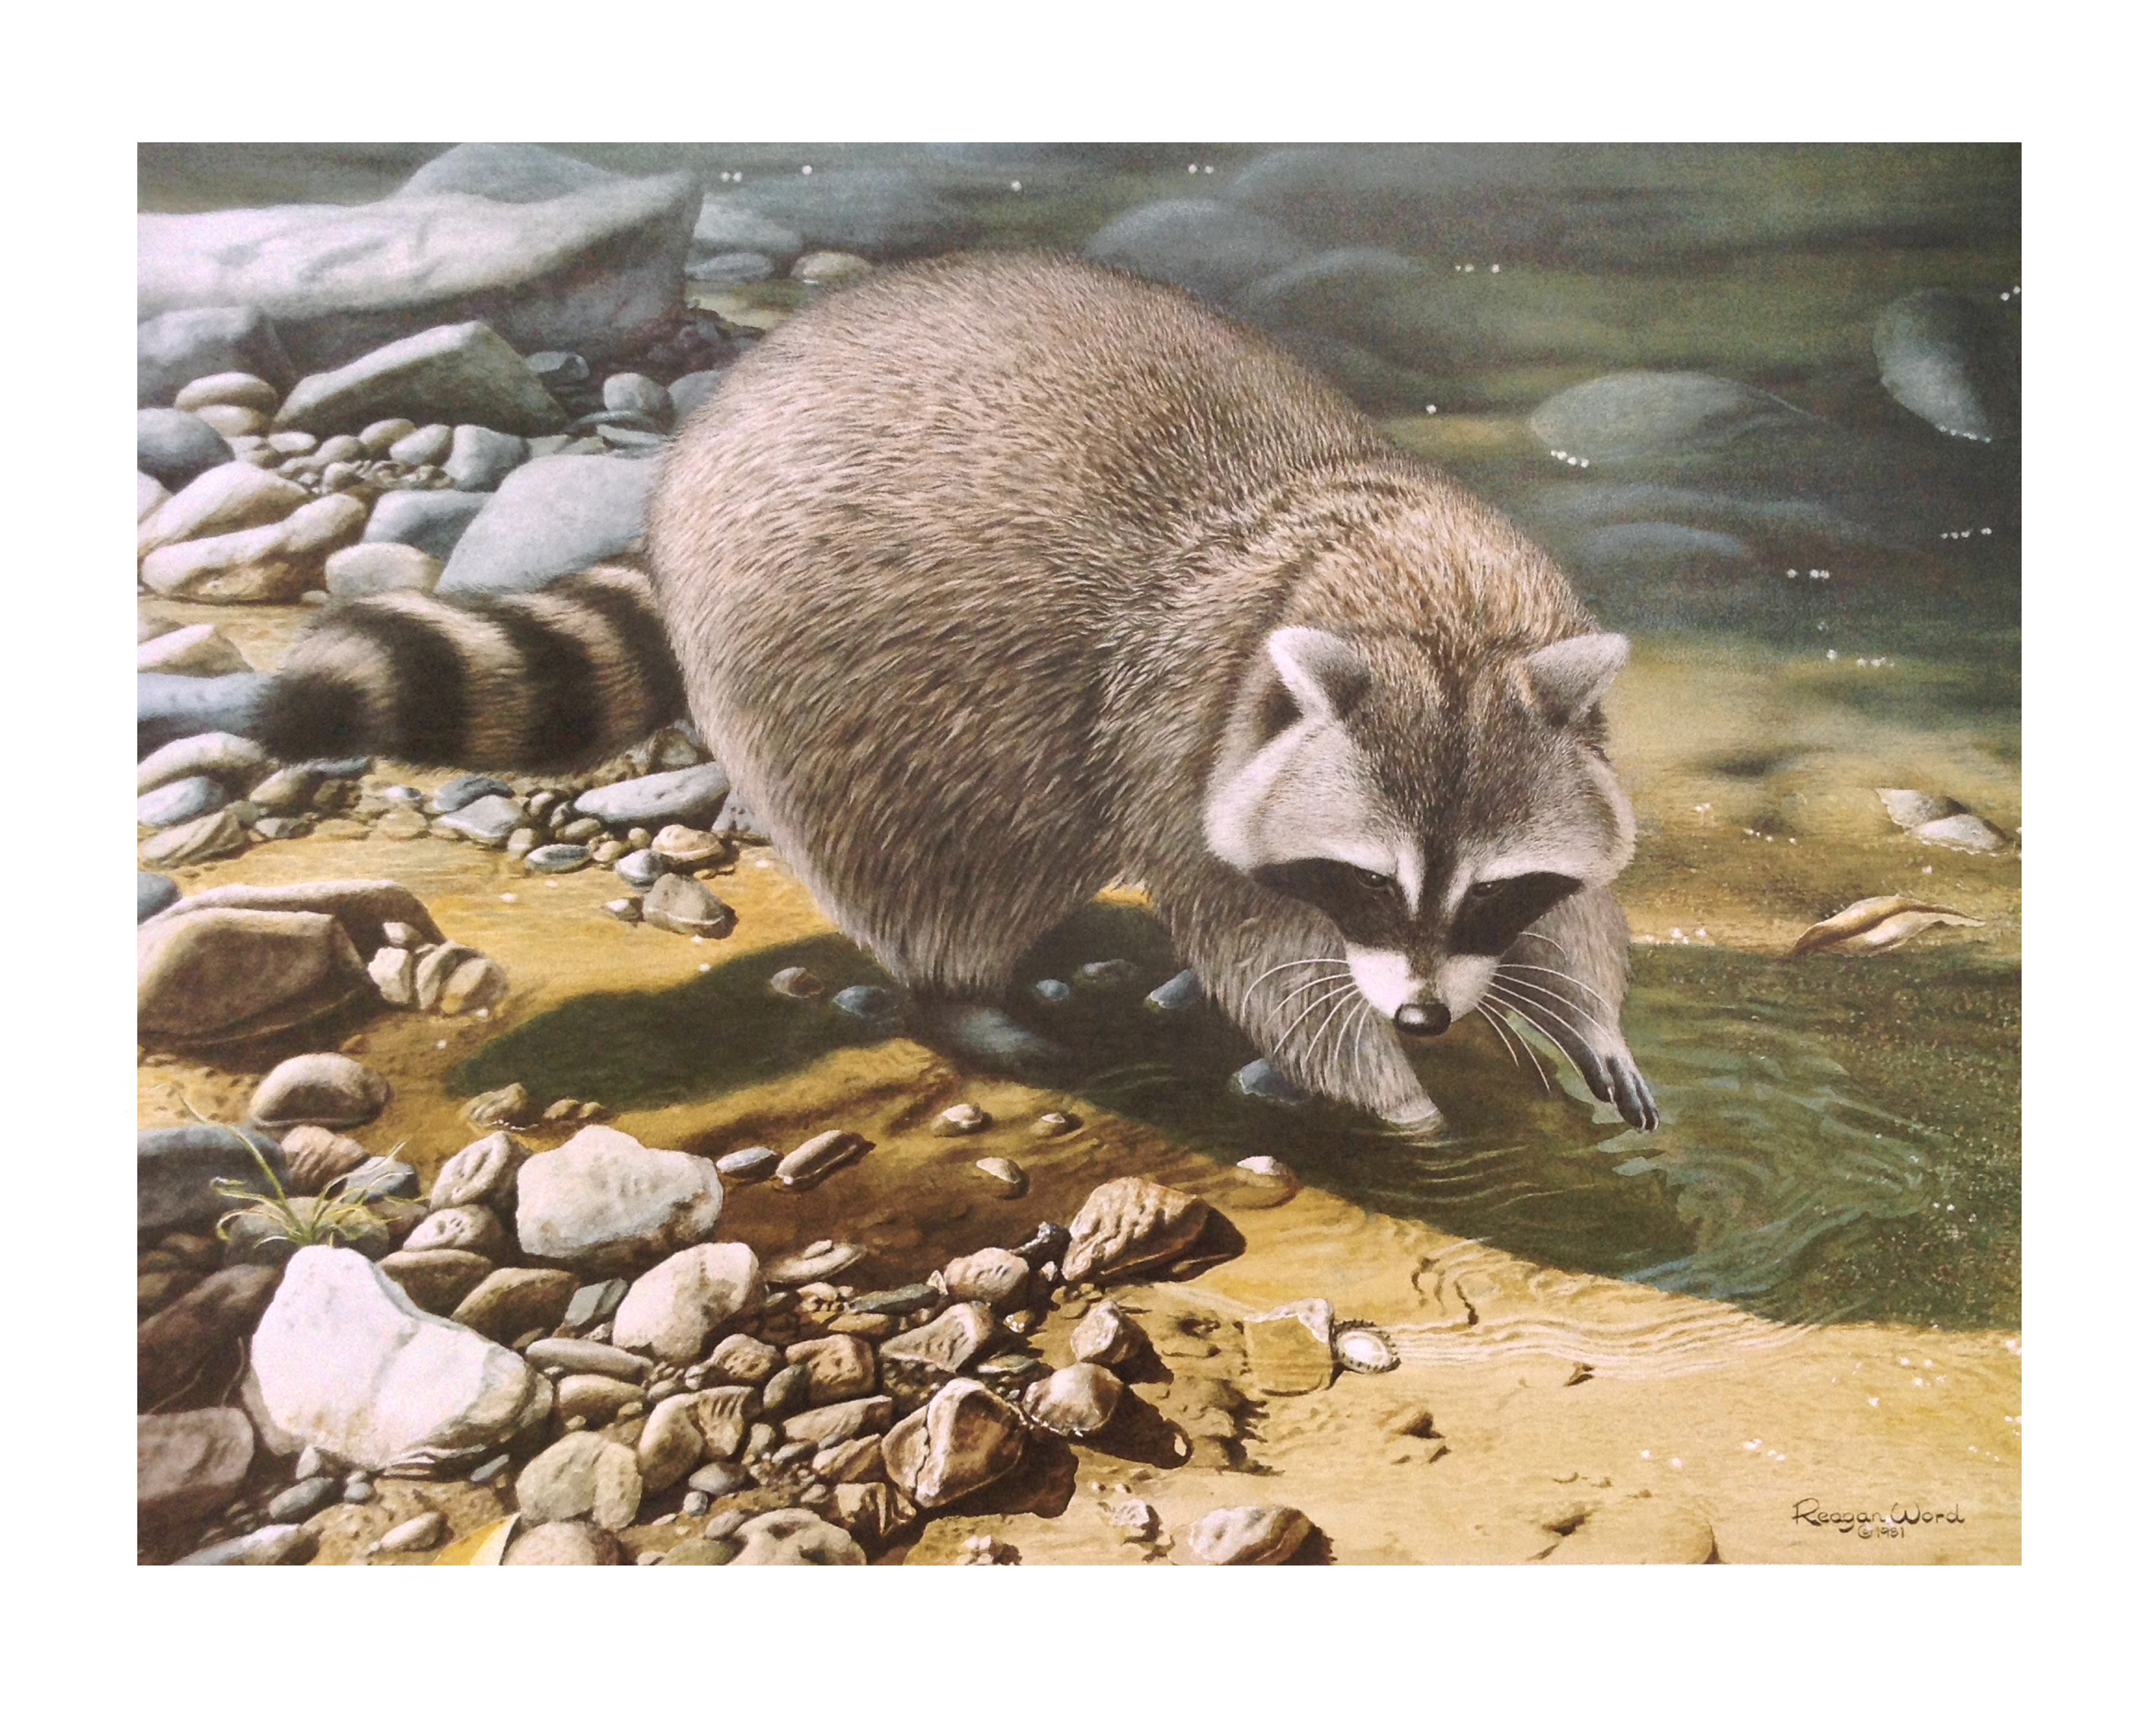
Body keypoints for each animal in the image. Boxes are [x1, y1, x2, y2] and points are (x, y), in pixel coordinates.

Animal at [258, 251, 1656, 1132]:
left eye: (1489, 891)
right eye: (1363, 879)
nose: (1423, 1016)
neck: (1434, 615)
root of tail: (702, 442)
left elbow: (1578, 911)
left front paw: (1582, 1014)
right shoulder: (1189, 729)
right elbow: (1257, 947)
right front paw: (1391, 1093)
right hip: (839, 678)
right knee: (942, 861)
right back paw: (957, 993)